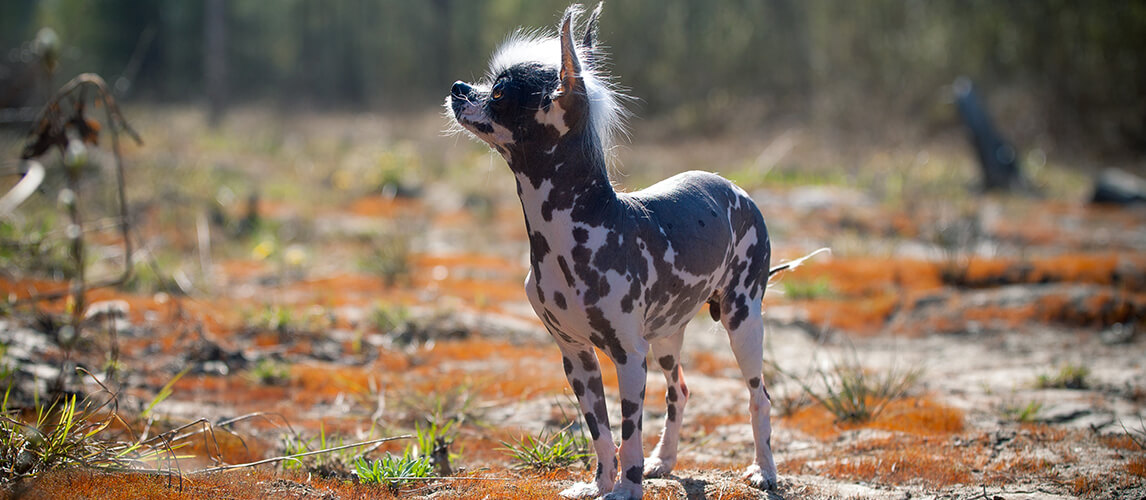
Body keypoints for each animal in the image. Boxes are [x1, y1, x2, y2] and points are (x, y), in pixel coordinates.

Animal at [451, 2, 783, 495]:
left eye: (499, 92)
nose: (457, 88)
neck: (569, 233)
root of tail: (735, 187)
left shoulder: (628, 357)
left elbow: (628, 433)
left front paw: (627, 488)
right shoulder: (576, 357)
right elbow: (601, 432)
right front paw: (601, 484)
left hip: (742, 322)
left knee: (758, 395)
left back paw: (764, 469)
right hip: (666, 336)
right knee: (679, 390)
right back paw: (664, 461)